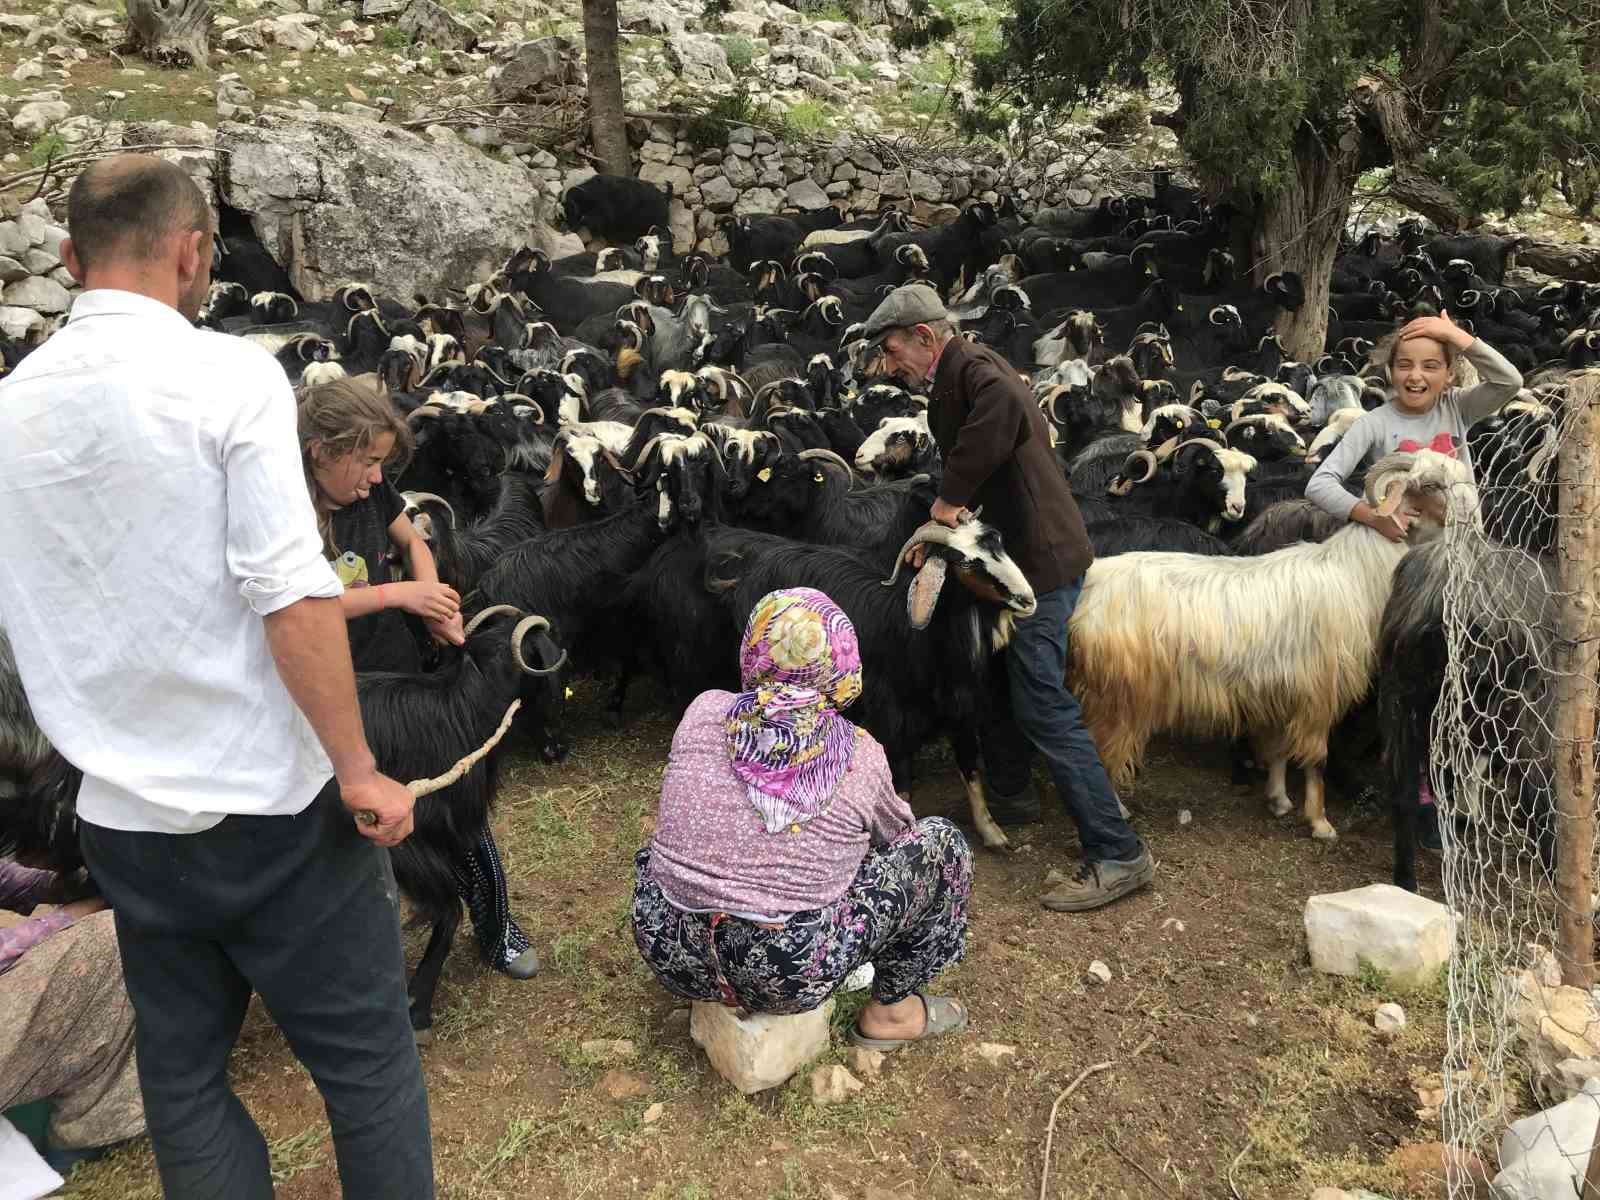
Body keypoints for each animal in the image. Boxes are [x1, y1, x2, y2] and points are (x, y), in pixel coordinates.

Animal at [1062, 448, 1472, 838]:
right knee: (1099, 752)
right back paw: (1118, 811)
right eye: (1432, 484)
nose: (1473, 515)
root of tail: (1090, 587)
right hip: (1119, 694)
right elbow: (1315, 759)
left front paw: (1278, 799)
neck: (1355, 571)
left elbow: (1277, 749)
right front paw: (1320, 822)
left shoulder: (1281, 686)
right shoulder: (1318, 691)